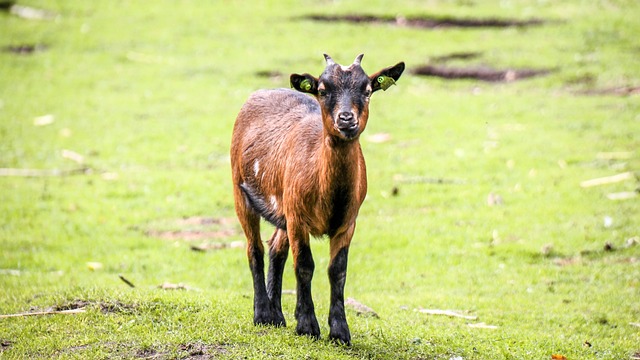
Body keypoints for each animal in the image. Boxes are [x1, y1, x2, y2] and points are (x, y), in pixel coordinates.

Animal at [230, 54, 404, 346]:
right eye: (322, 90)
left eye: (367, 90)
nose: (346, 118)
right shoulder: (298, 217)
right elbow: (304, 265)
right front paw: (308, 326)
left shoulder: (347, 222)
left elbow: (338, 270)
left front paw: (340, 331)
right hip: (240, 190)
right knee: (255, 248)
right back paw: (263, 314)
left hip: (283, 208)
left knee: (276, 248)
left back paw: (277, 316)